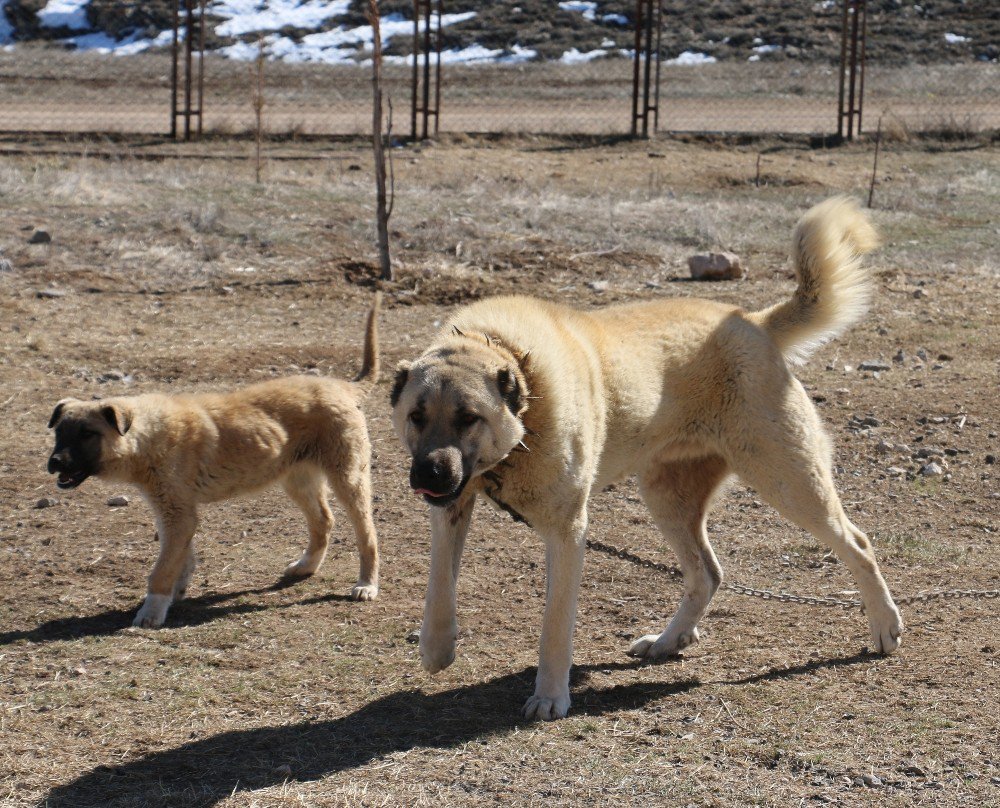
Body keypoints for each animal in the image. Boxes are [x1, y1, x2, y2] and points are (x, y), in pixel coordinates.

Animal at [46, 294, 382, 628]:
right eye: (59, 431)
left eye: (87, 433)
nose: (55, 462)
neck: (146, 434)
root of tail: (342, 386)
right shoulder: (174, 511)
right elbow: (181, 557)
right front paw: (177, 591)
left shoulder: (178, 513)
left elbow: (162, 568)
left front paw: (151, 611)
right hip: (298, 479)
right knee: (323, 521)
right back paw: (305, 567)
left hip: (348, 477)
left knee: (367, 533)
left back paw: (367, 585)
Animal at [392, 200, 908, 720]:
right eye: (416, 415)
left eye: (468, 417)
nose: (427, 474)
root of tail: (753, 321)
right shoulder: (453, 508)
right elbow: (439, 586)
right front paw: (437, 649)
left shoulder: (566, 531)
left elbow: (555, 626)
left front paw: (551, 695)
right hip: (667, 496)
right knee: (707, 574)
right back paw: (668, 640)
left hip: (787, 481)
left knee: (858, 543)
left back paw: (885, 625)